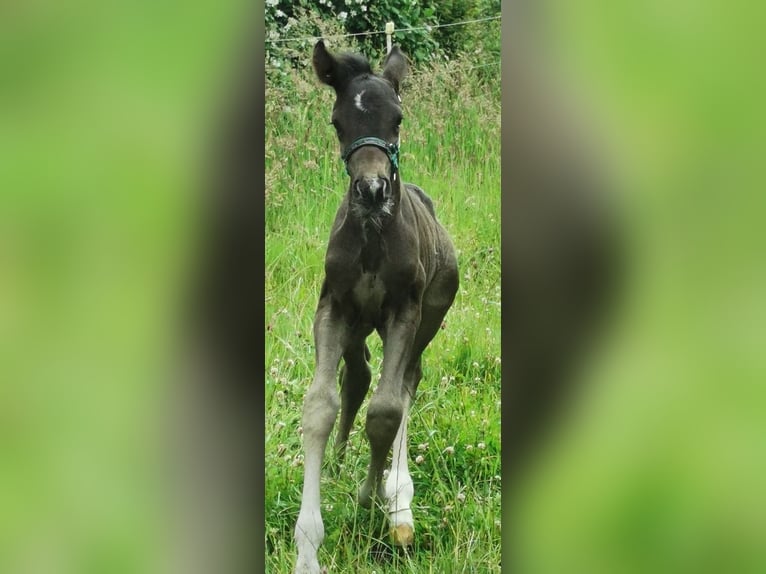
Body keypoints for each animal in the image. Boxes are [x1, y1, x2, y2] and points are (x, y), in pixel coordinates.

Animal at [296, 41, 460, 574]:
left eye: (398, 117)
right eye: (337, 121)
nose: (372, 191)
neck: (371, 237)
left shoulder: (404, 313)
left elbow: (386, 411)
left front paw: (371, 496)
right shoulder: (333, 308)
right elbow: (320, 406)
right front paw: (308, 546)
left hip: (427, 319)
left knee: (406, 383)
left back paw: (399, 499)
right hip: (358, 324)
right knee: (358, 376)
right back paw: (340, 458)